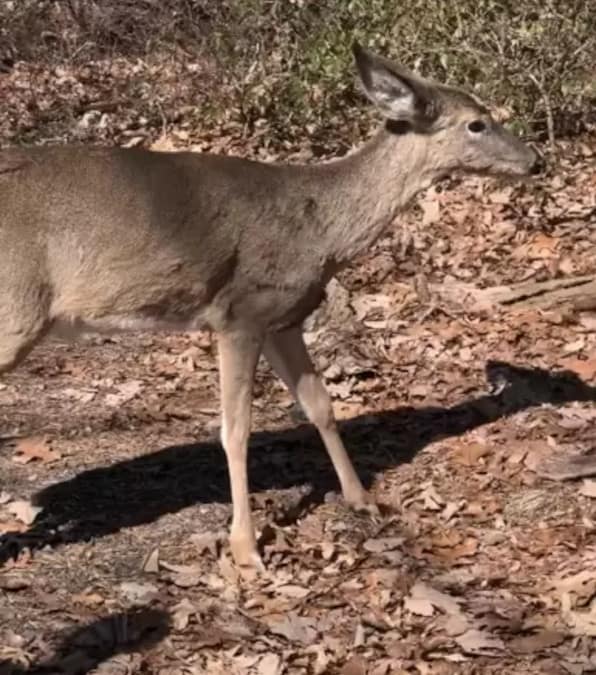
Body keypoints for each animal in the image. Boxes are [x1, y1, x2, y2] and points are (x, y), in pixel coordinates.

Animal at [0, 43, 540, 572]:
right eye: (477, 123)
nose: (535, 160)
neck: (323, 229)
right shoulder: (241, 311)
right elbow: (236, 429)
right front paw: (246, 549)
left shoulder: (285, 316)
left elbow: (321, 405)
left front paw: (362, 499)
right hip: (17, 308)